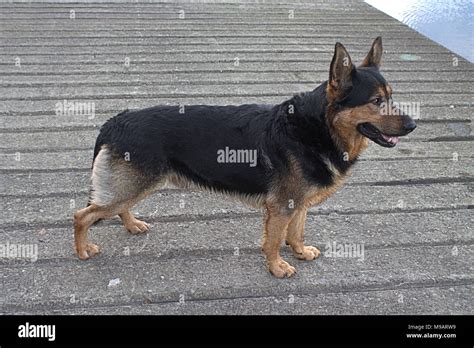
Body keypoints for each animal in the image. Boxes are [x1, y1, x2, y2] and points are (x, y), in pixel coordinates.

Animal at [73, 37, 414, 278]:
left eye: (391, 97)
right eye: (376, 101)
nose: (413, 125)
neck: (318, 127)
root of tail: (114, 121)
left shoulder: (298, 205)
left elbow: (296, 232)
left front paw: (300, 251)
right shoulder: (281, 208)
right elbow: (274, 241)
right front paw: (277, 267)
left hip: (136, 185)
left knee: (118, 208)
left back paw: (132, 225)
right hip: (132, 186)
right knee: (83, 215)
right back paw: (82, 250)